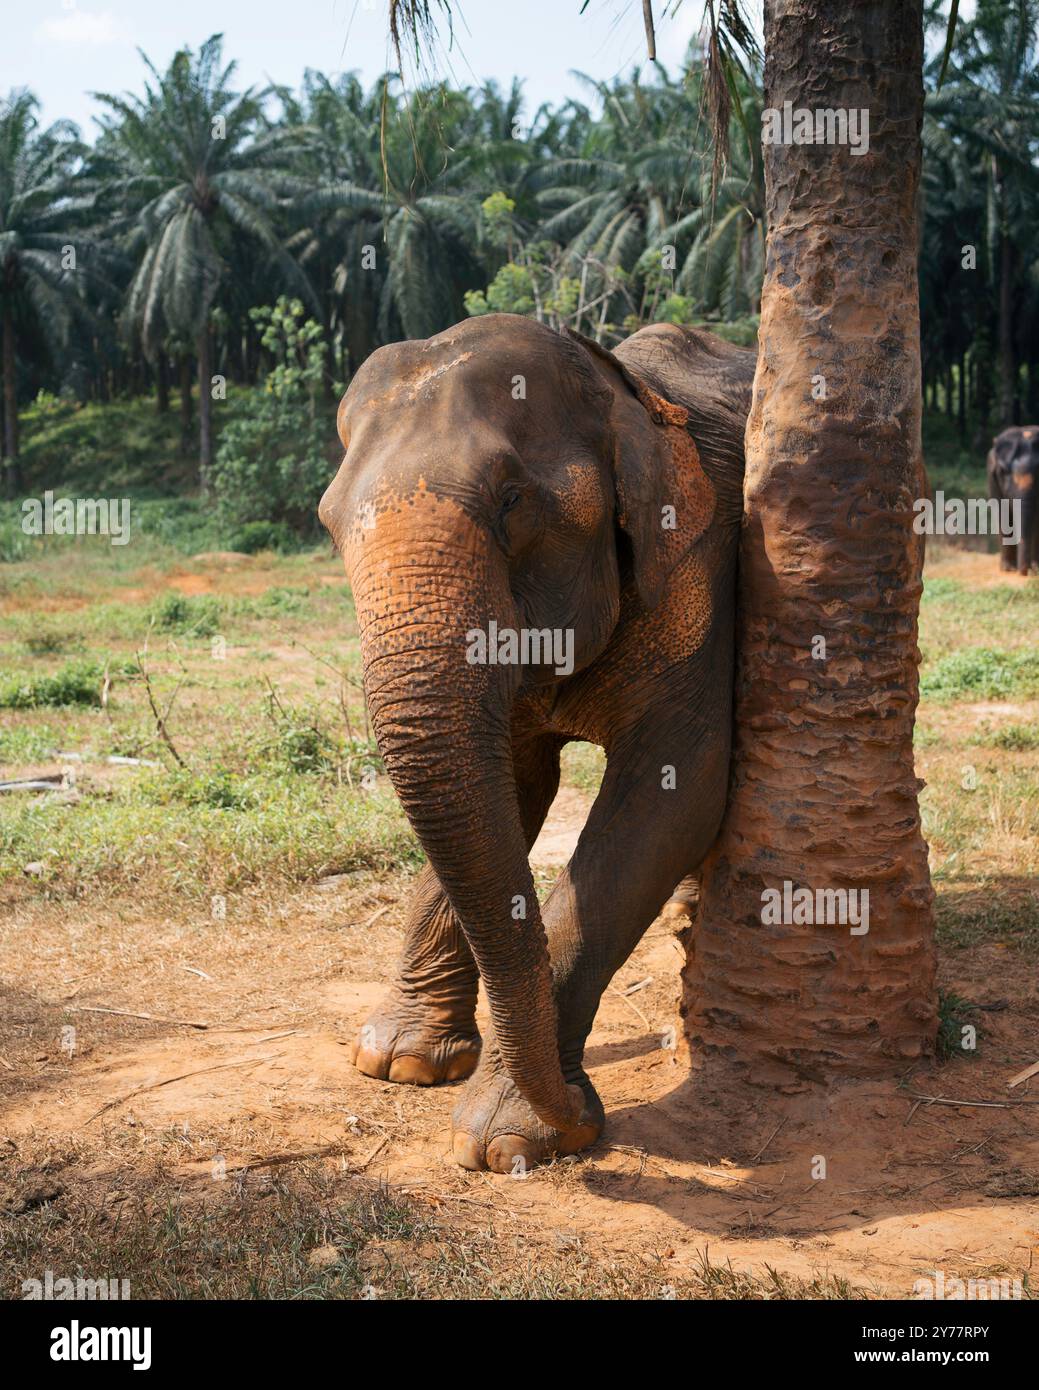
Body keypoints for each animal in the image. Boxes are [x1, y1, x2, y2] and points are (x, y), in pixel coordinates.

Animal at [319, 313, 755, 1172]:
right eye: (327, 520)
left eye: (511, 500)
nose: (585, 1120)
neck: (617, 382)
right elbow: (511, 791)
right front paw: (400, 1063)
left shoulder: (697, 564)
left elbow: (676, 789)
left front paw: (509, 1139)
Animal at [987, 425, 1039, 574]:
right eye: (1003, 472)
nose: (1025, 571)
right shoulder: (993, 478)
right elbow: (1003, 513)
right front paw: (1008, 569)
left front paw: (1036, 568)